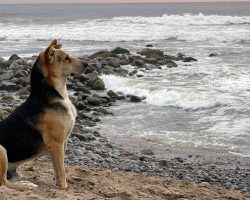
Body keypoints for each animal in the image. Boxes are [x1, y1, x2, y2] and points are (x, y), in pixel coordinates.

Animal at [0, 39, 88, 191]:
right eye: (66, 58)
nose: (87, 64)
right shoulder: (57, 143)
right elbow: (61, 169)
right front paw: (63, 186)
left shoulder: (63, 141)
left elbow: (58, 167)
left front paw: (58, 181)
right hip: (2, 150)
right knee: (3, 183)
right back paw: (25, 185)